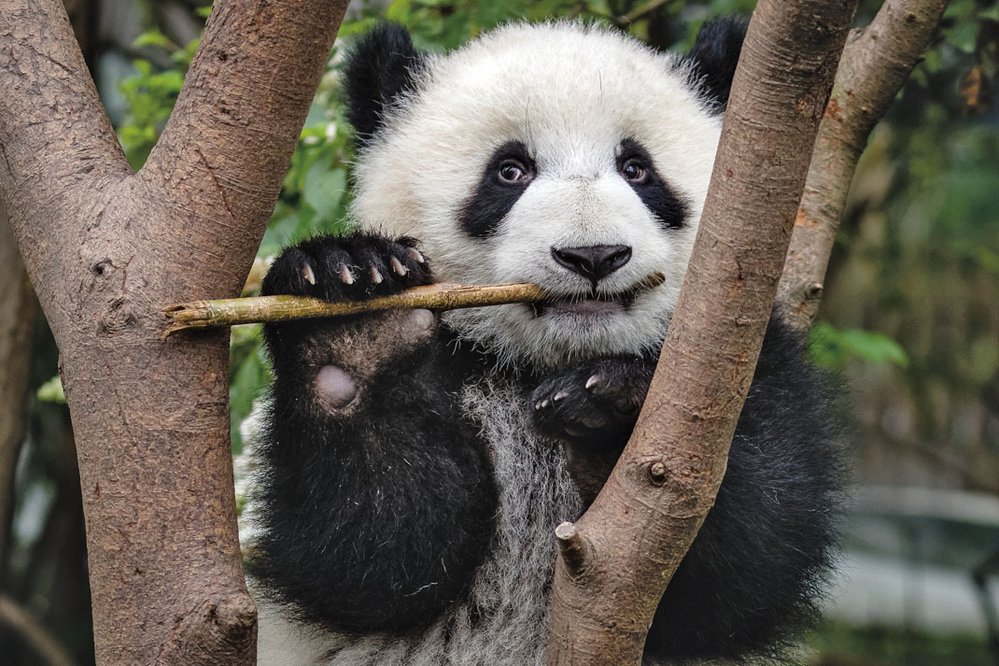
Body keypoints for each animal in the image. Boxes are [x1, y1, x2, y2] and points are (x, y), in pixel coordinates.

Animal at [250, 16, 844, 664]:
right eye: (510, 171)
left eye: (637, 169)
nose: (594, 255)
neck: (543, 362)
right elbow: (374, 552)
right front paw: (355, 319)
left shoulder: (741, 361)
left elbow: (749, 558)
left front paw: (612, 411)